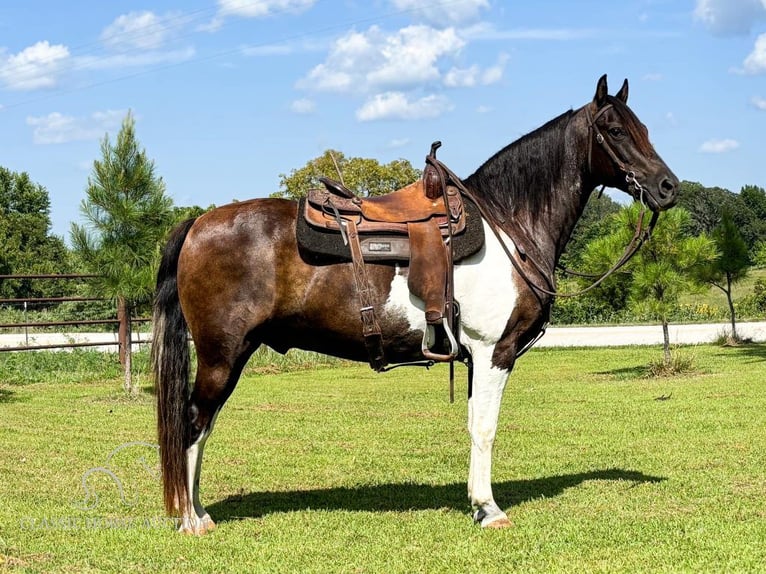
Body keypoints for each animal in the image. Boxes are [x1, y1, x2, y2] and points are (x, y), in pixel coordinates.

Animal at [153, 75, 680, 536]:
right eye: (616, 130)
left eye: (645, 128)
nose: (668, 187)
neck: (508, 225)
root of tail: (197, 223)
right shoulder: (495, 352)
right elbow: (485, 429)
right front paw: (490, 509)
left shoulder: (475, 358)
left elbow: (473, 424)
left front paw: (476, 503)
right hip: (222, 355)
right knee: (194, 425)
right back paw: (191, 519)